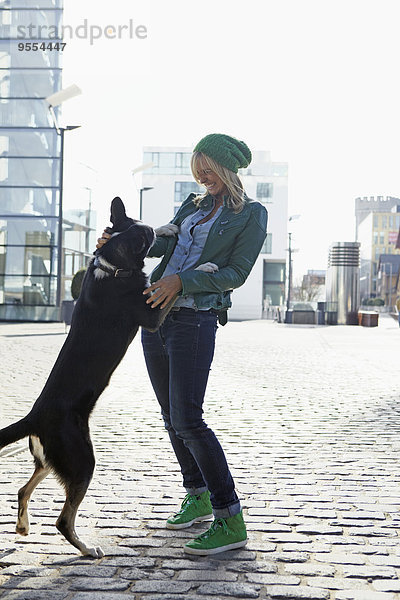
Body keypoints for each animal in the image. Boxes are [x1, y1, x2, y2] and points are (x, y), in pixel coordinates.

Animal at [0, 197, 170, 556]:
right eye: (143, 238)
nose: (151, 228)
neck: (112, 267)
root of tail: (34, 416)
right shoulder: (151, 315)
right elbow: (174, 284)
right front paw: (206, 268)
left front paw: (170, 227)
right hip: (81, 460)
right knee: (63, 520)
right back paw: (87, 549)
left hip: (52, 461)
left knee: (24, 489)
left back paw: (22, 526)